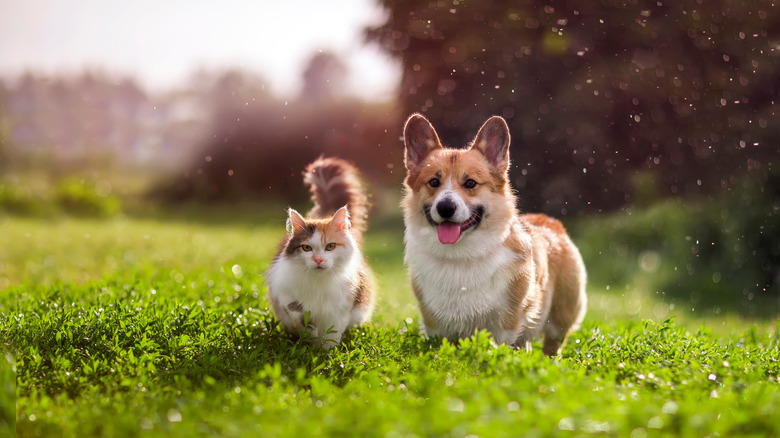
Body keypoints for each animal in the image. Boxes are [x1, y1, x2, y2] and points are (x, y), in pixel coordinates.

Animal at [266, 157, 376, 350]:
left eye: (330, 246)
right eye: (306, 248)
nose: (318, 259)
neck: (319, 283)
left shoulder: (341, 308)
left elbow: (331, 335)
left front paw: (325, 353)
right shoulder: (282, 292)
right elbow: (298, 312)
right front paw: (310, 336)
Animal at [402, 114, 584, 356]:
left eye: (470, 183)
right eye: (434, 182)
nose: (445, 208)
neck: (460, 256)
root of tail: (550, 221)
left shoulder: (506, 322)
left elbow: (499, 345)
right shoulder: (434, 324)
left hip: (560, 317)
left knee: (552, 345)